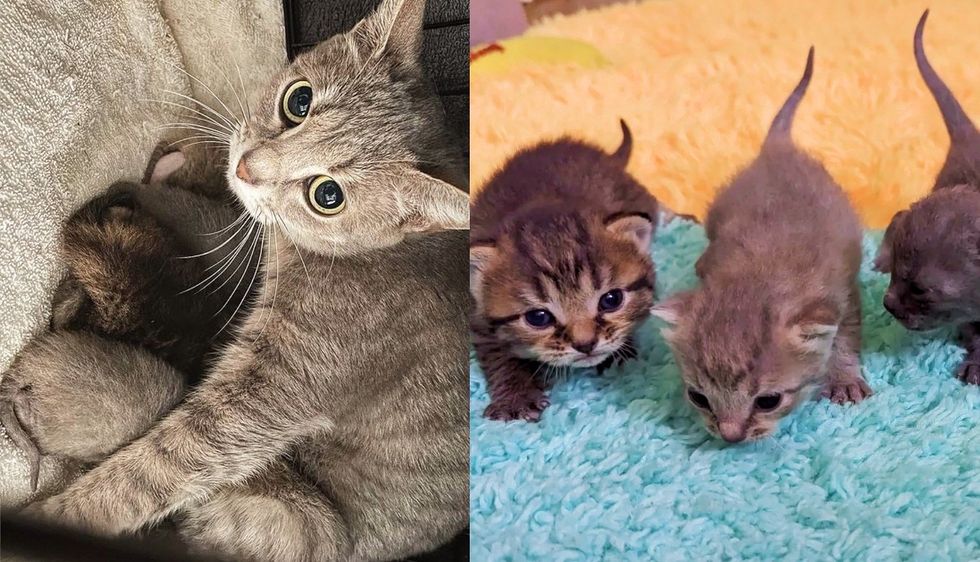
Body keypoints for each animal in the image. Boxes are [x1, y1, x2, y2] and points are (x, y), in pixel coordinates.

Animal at [23, 1, 468, 560]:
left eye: (328, 195)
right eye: (298, 101)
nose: (247, 168)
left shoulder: (271, 394)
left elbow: (155, 469)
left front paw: (57, 516)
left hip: (305, 522)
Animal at [468, 121, 660, 420]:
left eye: (611, 300)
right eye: (538, 317)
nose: (586, 344)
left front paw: (621, 354)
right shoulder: (478, 317)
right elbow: (498, 354)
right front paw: (515, 395)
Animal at [652, 48, 872, 442]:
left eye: (769, 401)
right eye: (698, 397)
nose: (730, 435)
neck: (759, 274)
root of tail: (777, 149)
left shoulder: (844, 293)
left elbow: (845, 337)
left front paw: (845, 376)